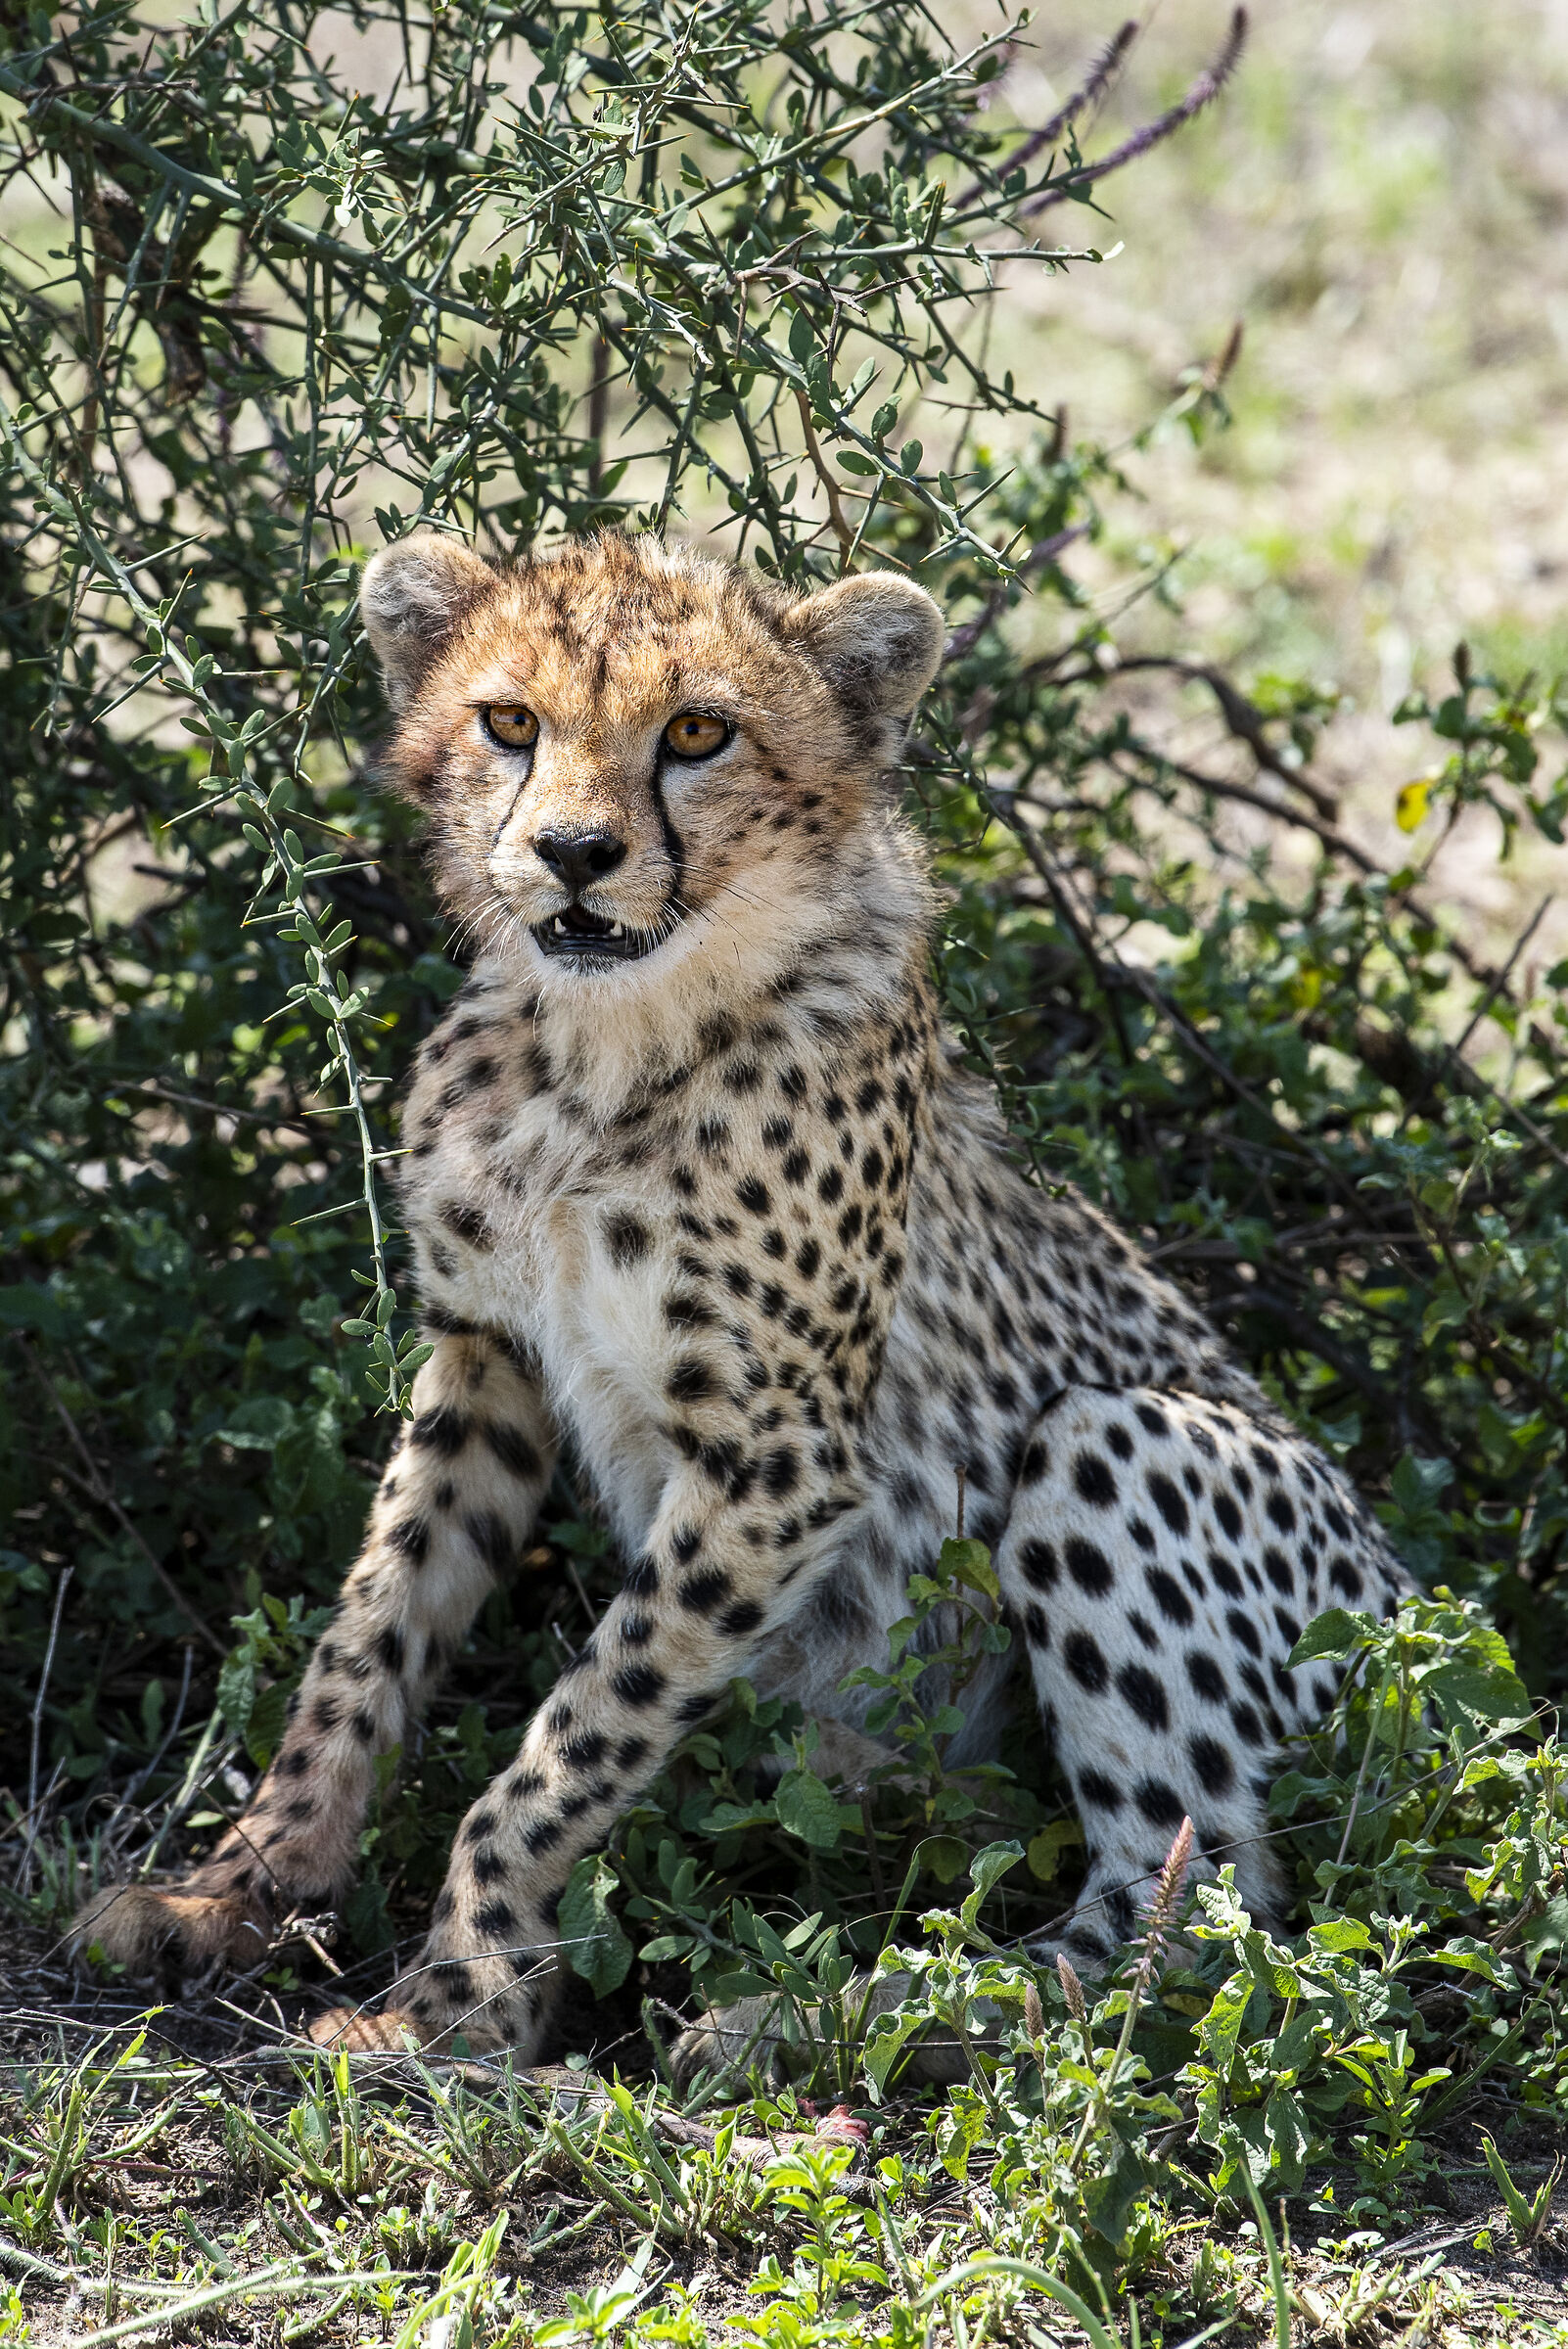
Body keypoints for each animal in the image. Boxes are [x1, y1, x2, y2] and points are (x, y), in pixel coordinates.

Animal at [74, 528, 1407, 2081]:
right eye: (507, 722)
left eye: (698, 734)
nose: (573, 854)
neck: (603, 1050)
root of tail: (1420, 1606)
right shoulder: (486, 1362)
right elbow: (365, 1640)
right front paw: (241, 1886)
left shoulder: (778, 1461)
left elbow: (576, 1731)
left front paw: (464, 1992)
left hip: (1112, 1449)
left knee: (1184, 1914)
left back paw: (815, 2015)